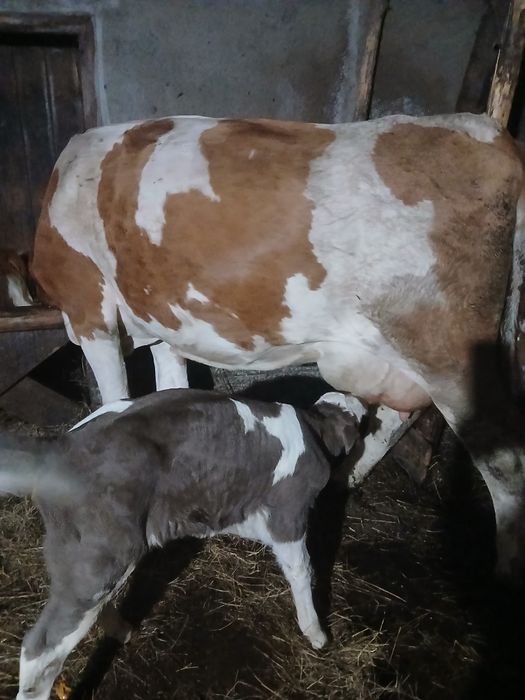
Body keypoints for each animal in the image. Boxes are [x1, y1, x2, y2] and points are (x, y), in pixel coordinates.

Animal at [1, 388, 362, 700]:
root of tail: (59, 448)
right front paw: (317, 634)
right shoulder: (289, 512)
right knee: (41, 646)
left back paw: (123, 630)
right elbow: (301, 570)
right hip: (103, 549)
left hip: (81, 551)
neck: (313, 428)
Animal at [31, 112, 525, 578]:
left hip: (448, 352)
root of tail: (491, 134)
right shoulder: (166, 318)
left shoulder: (88, 310)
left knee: (505, 458)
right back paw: (344, 478)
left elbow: (114, 400)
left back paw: (505, 571)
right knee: (398, 415)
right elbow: (169, 392)